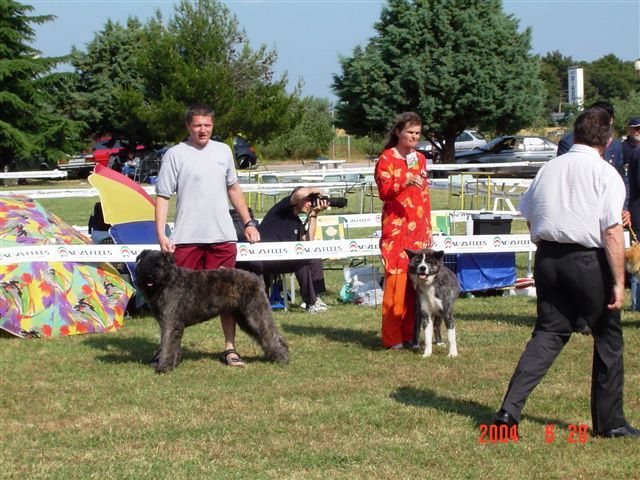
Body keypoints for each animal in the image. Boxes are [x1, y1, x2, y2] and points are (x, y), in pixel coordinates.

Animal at [136, 249, 288, 374]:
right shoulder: (169, 323)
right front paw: (172, 361)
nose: (148, 275)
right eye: (143, 263)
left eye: (159, 265)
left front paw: (164, 367)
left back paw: (282, 358)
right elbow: (170, 345)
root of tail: (257, 279)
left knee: (270, 334)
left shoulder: (170, 322)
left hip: (255, 314)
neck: (167, 281)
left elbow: (167, 345)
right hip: (245, 318)